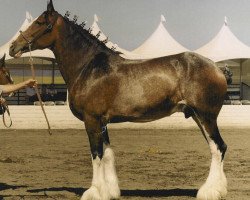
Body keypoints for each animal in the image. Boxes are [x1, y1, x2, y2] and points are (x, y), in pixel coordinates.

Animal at [9, 0, 229, 199]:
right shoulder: (102, 122)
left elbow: (96, 155)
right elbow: (107, 154)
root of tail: (217, 68)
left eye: (39, 22)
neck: (89, 67)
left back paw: (209, 192)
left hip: (206, 116)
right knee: (216, 147)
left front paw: (93, 192)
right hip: (197, 116)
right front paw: (109, 191)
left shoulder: (92, 119)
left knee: (218, 148)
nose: (12, 47)